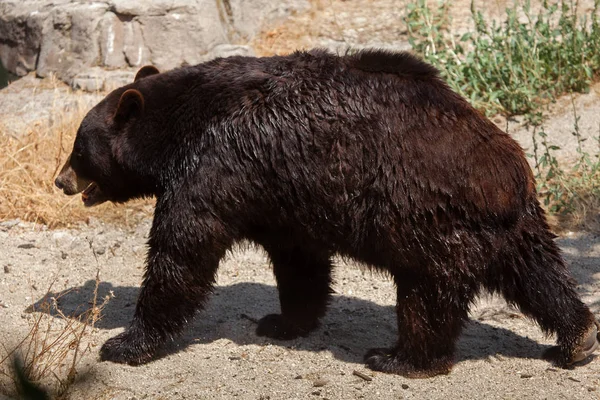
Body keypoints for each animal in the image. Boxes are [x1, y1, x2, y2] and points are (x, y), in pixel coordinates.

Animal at [54, 48, 596, 376]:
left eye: (78, 148)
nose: (60, 181)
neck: (179, 129)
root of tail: (507, 174)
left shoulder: (215, 169)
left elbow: (181, 253)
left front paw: (125, 343)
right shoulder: (279, 192)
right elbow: (300, 262)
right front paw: (283, 320)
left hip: (428, 219)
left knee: (427, 296)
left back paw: (398, 357)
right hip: (512, 226)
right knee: (541, 276)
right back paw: (576, 338)